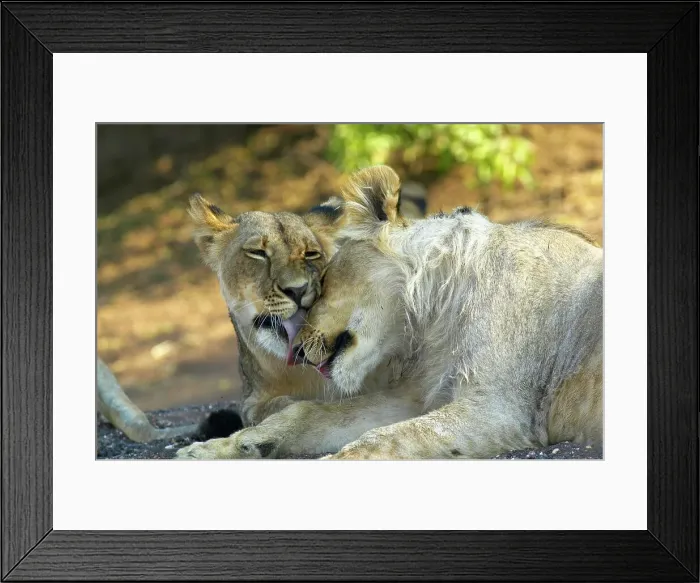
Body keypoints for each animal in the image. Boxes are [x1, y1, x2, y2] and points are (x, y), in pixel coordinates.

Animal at [176, 165, 602, 460]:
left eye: (323, 275)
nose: (295, 352)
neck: (433, 317)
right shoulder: (418, 398)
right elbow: (306, 413)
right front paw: (218, 448)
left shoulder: (498, 408)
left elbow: (384, 439)